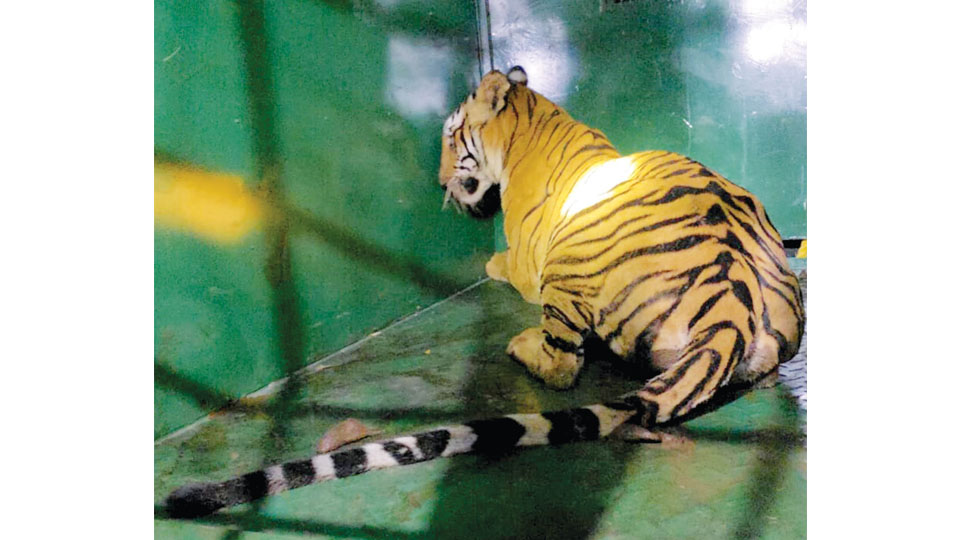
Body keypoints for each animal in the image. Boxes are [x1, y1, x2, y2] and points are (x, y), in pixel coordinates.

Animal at [164, 66, 804, 519]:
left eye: (452, 137)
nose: (439, 180)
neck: (534, 118)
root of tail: (730, 311)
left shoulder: (527, 260)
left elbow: (506, 267)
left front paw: (488, 260)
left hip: (567, 274)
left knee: (562, 366)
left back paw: (521, 346)